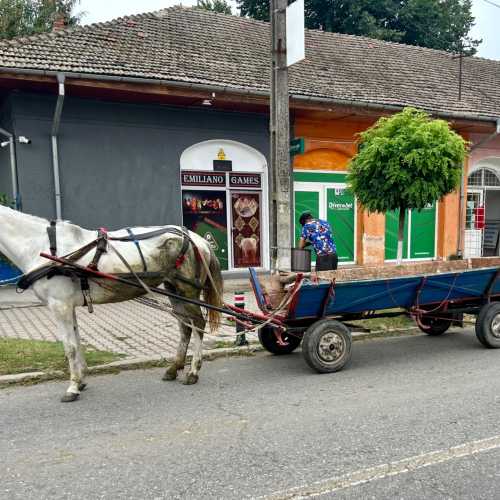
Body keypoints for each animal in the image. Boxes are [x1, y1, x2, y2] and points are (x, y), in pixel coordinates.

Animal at [0, 206, 223, 402]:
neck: (43, 246)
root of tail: (198, 239)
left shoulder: (60, 306)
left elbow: (69, 348)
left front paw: (72, 388)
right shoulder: (68, 306)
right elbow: (77, 343)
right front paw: (81, 380)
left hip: (188, 290)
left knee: (198, 325)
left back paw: (193, 372)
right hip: (174, 291)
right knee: (185, 328)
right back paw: (174, 368)